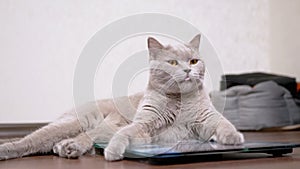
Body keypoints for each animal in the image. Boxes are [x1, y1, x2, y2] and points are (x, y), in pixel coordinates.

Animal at [0, 34, 244, 161]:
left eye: (194, 61)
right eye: (173, 62)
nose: (187, 70)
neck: (179, 103)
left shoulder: (207, 119)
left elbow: (224, 124)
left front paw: (232, 138)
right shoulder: (144, 124)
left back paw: (67, 148)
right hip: (77, 123)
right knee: (33, 141)